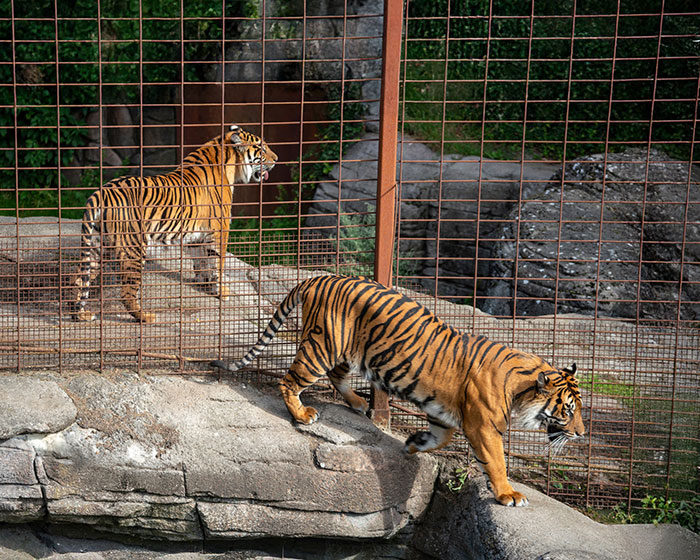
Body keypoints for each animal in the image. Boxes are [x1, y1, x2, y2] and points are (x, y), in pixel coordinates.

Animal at [71, 124, 277, 323]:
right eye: (262, 148)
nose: (276, 159)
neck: (230, 165)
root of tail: (102, 192)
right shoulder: (220, 230)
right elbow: (217, 263)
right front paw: (222, 291)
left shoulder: (197, 234)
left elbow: (201, 261)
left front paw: (204, 283)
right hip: (133, 248)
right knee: (127, 293)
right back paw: (146, 317)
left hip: (96, 245)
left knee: (79, 280)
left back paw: (80, 315)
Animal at [211, 274, 585, 507]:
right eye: (567, 410)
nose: (581, 434)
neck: (521, 387)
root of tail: (317, 277)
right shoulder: (484, 427)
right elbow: (496, 462)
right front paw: (508, 495)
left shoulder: (443, 414)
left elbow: (442, 439)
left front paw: (414, 443)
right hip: (323, 345)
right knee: (290, 380)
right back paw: (303, 414)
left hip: (347, 351)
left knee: (336, 376)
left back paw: (358, 403)